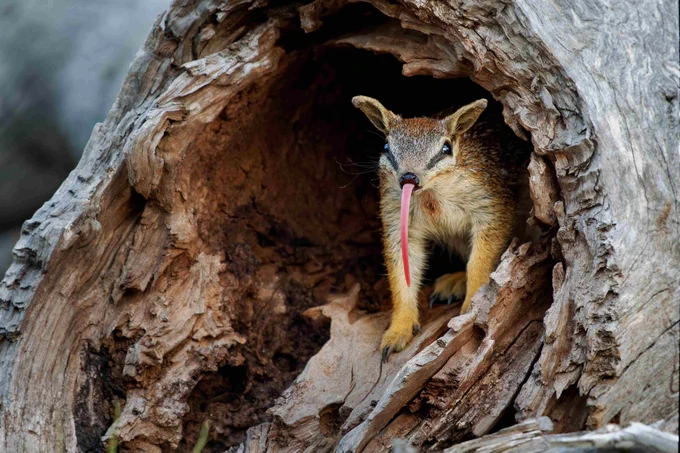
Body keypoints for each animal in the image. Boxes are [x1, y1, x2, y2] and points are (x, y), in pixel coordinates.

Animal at [352, 96, 530, 361]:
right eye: (386, 147)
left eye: (446, 148)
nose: (409, 177)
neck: (431, 195)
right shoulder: (396, 218)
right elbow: (400, 273)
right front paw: (399, 328)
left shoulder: (491, 206)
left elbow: (480, 262)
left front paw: (472, 304)